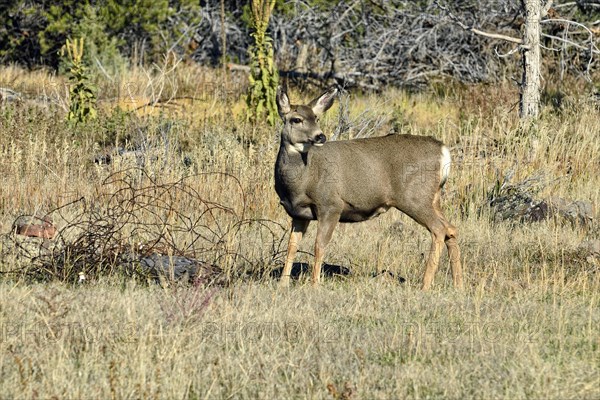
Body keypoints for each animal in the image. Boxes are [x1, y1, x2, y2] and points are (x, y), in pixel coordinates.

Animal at [274, 87, 462, 290]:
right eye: (296, 119)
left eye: (316, 118)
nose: (320, 136)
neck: (301, 181)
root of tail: (443, 151)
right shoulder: (298, 214)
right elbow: (291, 246)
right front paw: (282, 283)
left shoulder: (330, 204)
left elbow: (319, 245)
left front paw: (315, 284)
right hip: (433, 197)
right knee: (451, 228)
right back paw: (458, 284)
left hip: (414, 197)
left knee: (439, 229)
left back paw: (425, 285)